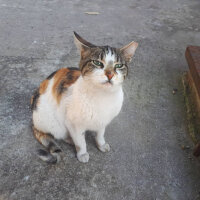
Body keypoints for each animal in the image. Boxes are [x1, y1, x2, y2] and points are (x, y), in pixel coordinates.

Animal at [30, 31, 138, 162]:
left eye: (119, 65)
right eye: (97, 63)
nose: (110, 74)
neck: (103, 96)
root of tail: (34, 122)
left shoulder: (103, 120)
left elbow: (100, 134)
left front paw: (101, 144)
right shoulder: (72, 122)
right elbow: (80, 140)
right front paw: (82, 153)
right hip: (54, 123)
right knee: (61, 134)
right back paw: (70, 139)